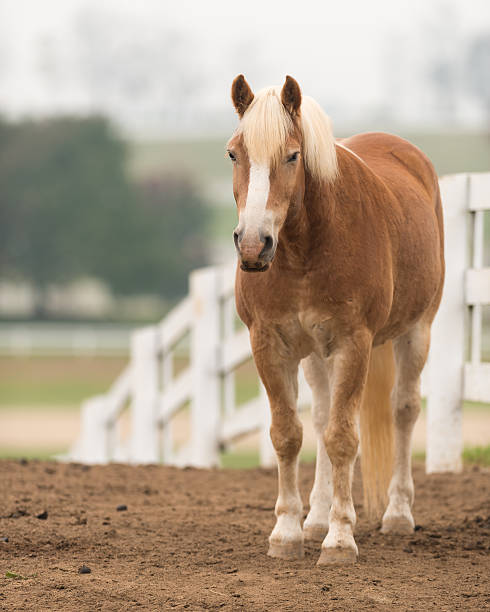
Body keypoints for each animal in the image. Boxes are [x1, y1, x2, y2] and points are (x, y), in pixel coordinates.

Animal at [226, 75, 444, 564]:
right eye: (233, 153)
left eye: (292, 155)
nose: (253, 246)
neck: (304, 250)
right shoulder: (271, 344)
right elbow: (289, 434)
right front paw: (288, 532)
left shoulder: (352, 343)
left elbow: (343, 436)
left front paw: (341, 539)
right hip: (315, 354)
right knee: (322, 417)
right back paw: (316, 519)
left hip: (416, 332)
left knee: (403, 410)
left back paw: (397, 514)